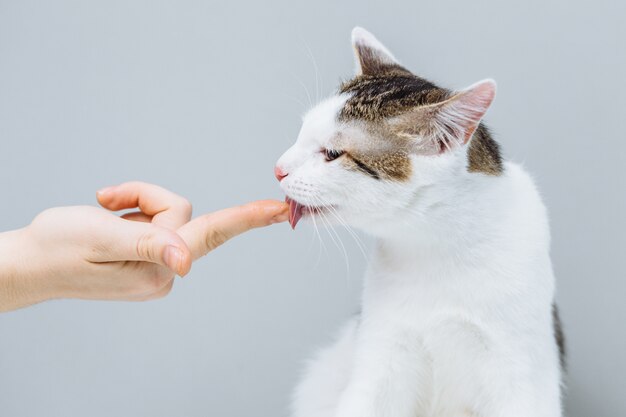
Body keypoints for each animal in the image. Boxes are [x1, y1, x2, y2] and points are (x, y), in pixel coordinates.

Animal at [276, 28, 564, 416]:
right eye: (302, 132)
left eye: (332, 154)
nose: (278, 169)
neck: (436, 245)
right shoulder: (382, 352)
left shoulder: (519, 373)